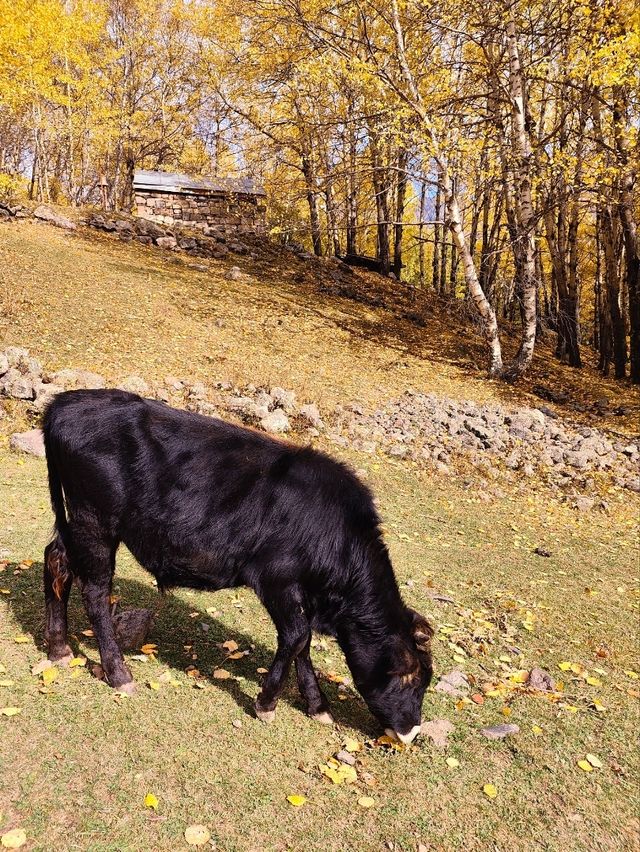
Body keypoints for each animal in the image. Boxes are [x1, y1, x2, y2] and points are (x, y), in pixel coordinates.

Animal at [41, 390, 436, 744]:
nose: (412, 732)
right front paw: (267, 704)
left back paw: (59, 649)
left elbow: (303, 643)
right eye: (411, 676)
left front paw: (317, 705)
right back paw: (119, 673)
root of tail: (64, 402)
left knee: (56, 561)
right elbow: (297, 638)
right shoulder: (277, 579)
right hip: (95, 521)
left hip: (77, 523)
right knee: (95, 592)